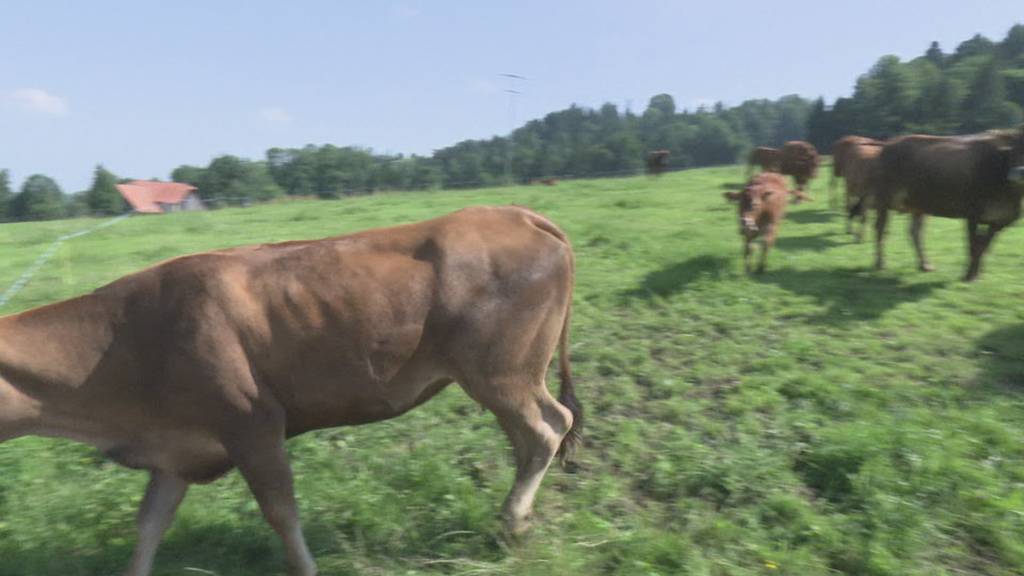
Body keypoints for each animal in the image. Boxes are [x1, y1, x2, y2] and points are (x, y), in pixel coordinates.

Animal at [0, 206, 581, 573]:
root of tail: (515, 212)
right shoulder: (174, 451)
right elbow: (147, 529)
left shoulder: (253, 424)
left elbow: (282, 514)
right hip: (500, 376)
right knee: (532, 437)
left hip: (502, 373)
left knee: (547, 428)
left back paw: (512, 523)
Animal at [872, 127, 1024, 280]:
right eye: (1013, 151)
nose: (1019, 172)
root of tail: (890, 143)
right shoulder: (972, 214)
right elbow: (973, 245)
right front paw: (968, 276)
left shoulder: (1000, 220)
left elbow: (984, 247)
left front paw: (977, 273)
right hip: (883, 198)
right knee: (881, 229)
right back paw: (880, 263)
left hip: (918, 204)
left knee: (915, 232)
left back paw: (924, 265)